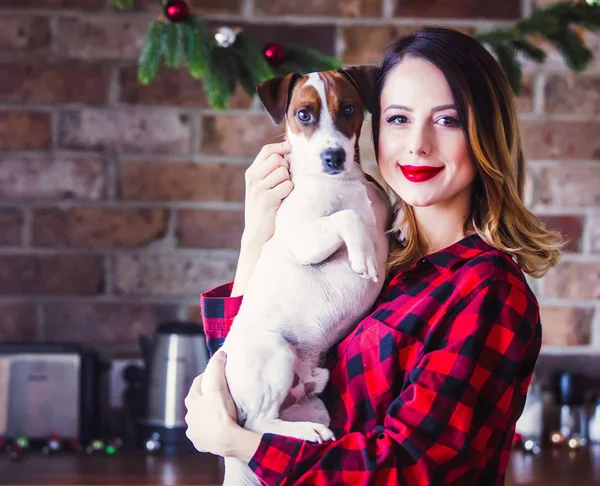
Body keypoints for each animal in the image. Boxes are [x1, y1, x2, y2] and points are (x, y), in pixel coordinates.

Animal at [199, 68, 392, 486]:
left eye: (348, 109)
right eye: (304, 115)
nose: (333, 157)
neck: (342, 181)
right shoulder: (304, 238)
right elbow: (347, 218)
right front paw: (365, 257)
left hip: (313, 401)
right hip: (275, 351)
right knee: (257, 424)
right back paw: (306, 432)